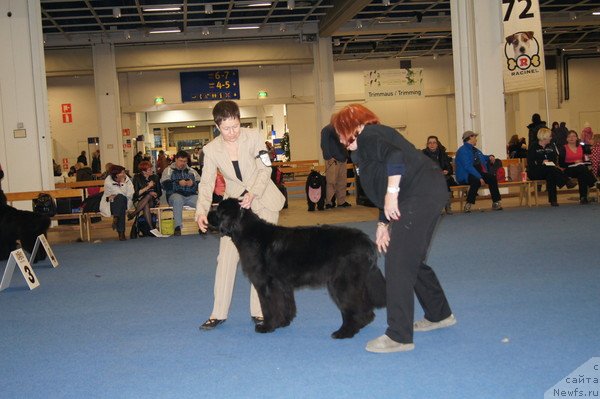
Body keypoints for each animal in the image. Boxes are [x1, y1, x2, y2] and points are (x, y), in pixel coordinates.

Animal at [206, 198, 384, 340]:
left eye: (218, 210)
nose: (207, 214)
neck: (247, 233)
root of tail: (367, 242)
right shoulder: (281, 284)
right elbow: (285, 304)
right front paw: (283, 322)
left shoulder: (265, 284)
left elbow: (268, 307)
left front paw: (267, 326)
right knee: (366, 310)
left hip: (342, 283)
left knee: (353, 308)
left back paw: (344, 332)